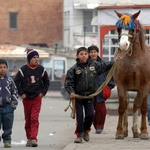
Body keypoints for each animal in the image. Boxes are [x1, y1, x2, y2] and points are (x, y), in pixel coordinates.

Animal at [113, 10, 150, 139]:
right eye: (118, 28)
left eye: (132, 28)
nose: (123, 45)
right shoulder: (121, 85)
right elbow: (122, 107)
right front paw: (119, 131)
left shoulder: (145, 86)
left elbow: (142, 108)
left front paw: (143, 131)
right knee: (127, 104)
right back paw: (125, 130)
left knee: (136, 105)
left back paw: (136, 130)